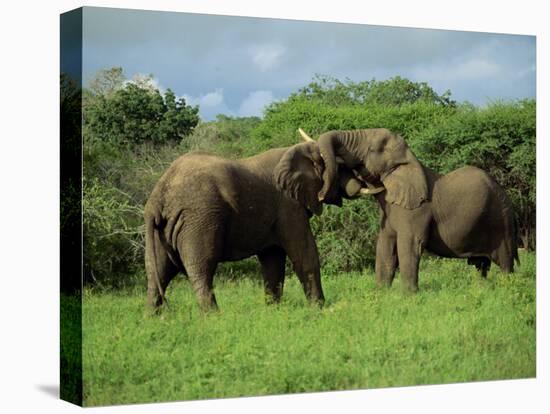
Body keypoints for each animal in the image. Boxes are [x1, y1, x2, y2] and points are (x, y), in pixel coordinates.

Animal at [146, 142, 350, 310]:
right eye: (343, 167)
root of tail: (158, 196)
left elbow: (273, 260)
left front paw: (273, 311)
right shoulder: (288, 205)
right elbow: (305, 254)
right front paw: (319, 309)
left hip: (163, 229)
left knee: (158, 272)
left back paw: (152, 318)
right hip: (198, 218)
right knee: (201, 268)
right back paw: (213, 317)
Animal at [300, 126, 520, 292]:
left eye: (372, 150)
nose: (320, 195)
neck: (408, 160)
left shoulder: (416, 211)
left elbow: (409, 245)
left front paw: (408, 296)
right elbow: (384, 247)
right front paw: (381, 294)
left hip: (501, 220)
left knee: (505, 262)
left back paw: (507, 288)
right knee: (482, 265)